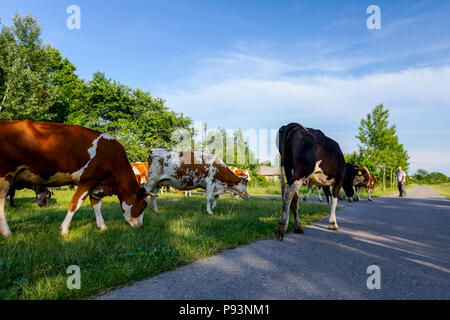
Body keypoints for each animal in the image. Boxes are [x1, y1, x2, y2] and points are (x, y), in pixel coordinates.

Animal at [0, 120, 151, 238]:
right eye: (144, 205)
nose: (140, 226)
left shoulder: (96, 185)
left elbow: (97, 206)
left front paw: (102, 226)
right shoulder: (88, 180)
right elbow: (75, 204)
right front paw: (64, 229)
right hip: (5, 176)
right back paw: (7, 232)